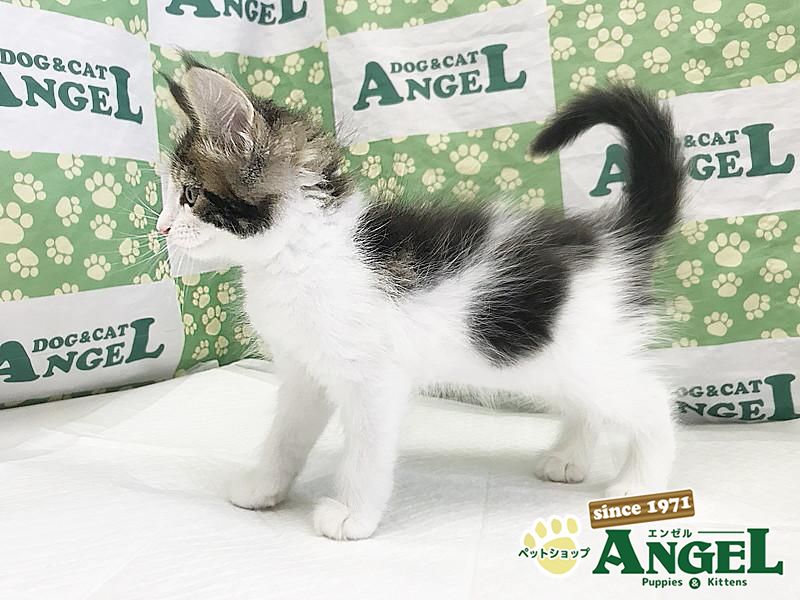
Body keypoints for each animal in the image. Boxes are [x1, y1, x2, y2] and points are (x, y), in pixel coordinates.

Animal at [157, 58, 685, 540]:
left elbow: (366, 452)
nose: (160, 228)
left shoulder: (373, 379)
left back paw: (639, 486)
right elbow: (284, 436)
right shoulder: (304, 371)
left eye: (188, 195)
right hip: (549, 361)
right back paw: (568, 459)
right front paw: (264, 487)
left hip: (584, 356)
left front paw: (353, 516)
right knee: (590, 406)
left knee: (652, 400)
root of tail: (617, 236)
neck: (302, 254)